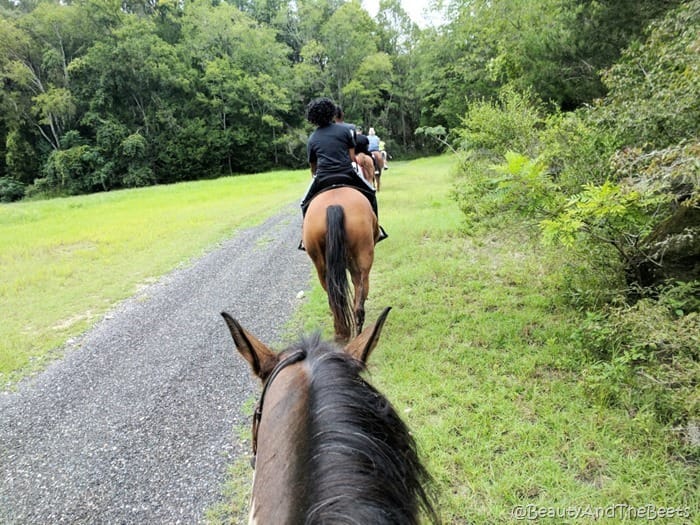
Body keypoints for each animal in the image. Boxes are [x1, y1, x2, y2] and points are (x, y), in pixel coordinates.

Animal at [300, 186, 378, 342]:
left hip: (322, 267)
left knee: (335, 300)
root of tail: (334, 205)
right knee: (359, 295)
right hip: (363, 260)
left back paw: (343, 332)